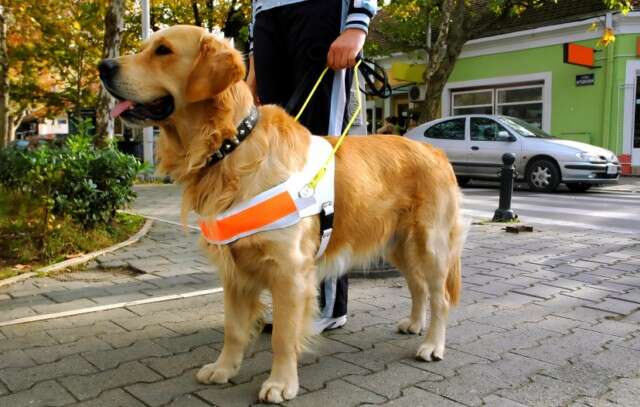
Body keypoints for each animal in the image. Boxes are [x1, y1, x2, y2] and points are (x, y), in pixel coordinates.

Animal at [100, 25, 468, 404]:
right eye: (146, 47)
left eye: (163, 51)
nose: (104, 67)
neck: (231, 147)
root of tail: (434, 149)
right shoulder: (234, 271)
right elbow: (233, 329)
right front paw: (223, 369)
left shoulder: (290, 272)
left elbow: (282, 336)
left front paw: (280, 383)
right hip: (398, 245)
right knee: (418, 287)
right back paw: (414, 324)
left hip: (431, 245)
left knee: (439, 297)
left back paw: (432, 345)